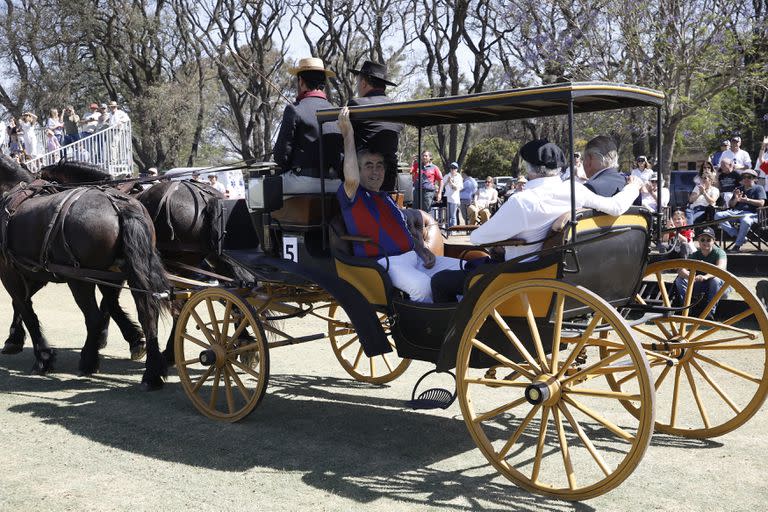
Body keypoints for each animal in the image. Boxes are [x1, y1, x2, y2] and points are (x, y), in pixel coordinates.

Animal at [0, 155, 170, 388]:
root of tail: (118, 204)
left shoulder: (9, 272)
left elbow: (25, 309)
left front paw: (43, 357)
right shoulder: (35, 271)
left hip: (79, 279)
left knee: (93, 317)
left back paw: (88, 360)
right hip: (130, 274)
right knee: (147, 314)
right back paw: (151, 373)